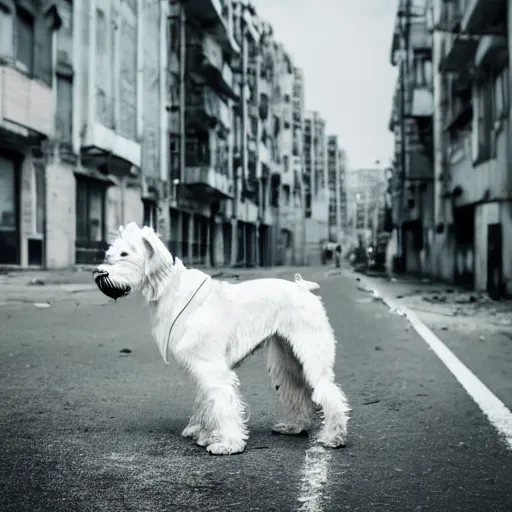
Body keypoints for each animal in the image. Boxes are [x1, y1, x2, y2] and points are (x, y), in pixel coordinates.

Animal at [93, 222, 348, 454]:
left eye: (125, 254)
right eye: (110, 253)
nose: (98, 273)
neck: (169, 289)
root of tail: (303, 288)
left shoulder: (211, 368)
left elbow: (222, 403)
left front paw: (228, 443)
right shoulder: (201, 367)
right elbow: (207, 402)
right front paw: (205, 434)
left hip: (312, 356)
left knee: (330, 393)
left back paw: (332, 437)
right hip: (287, 360)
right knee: (299, 390)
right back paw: (295, 426)